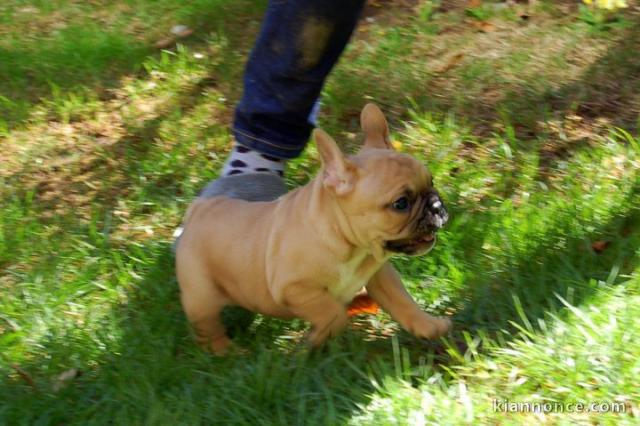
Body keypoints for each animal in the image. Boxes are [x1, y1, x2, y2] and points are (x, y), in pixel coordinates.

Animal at [176, 103, 450, 352]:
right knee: (208, 328)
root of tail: (200, 208)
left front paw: (428, 325)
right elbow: (332, 313)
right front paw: (315, 340)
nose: (437, 206)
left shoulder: (379, 274)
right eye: (401, 203)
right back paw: (227, 353)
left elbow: (402, 300)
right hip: (201, 297)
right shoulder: (295, 288)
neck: (349, 246)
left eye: (431, 181)